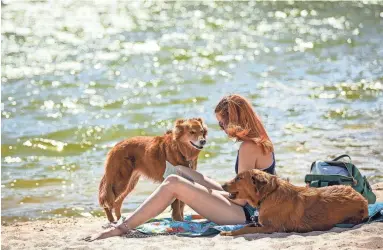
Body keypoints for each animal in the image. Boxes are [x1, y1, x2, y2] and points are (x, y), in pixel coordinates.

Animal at [222, 169, 368, 235]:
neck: (269, 194)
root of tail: (363, 199)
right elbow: (247, 226)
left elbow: (245, 229)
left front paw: (229, 233)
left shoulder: (272, 228)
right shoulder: (261, 224)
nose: (222, 185)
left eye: (238, 178)